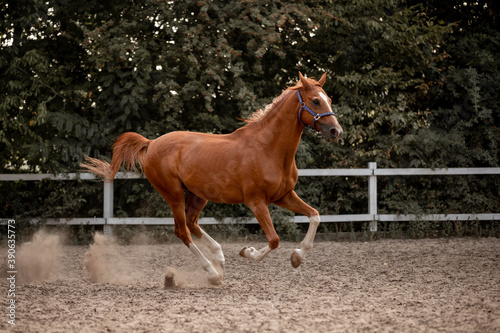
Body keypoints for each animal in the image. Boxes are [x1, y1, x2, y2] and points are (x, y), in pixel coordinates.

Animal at [82, 72, 344, 282]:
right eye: (315, 101)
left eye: (329, 99)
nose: (335, 131)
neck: (268, 149)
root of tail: (152, 142)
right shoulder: (256, 201)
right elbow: (274, 240)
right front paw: (248, 252)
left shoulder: (284, 196)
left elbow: (315, 216)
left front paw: (297, 257)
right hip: (174, 194)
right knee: (182, 231)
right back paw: (212, 273)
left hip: (198, 195)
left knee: (191, 223)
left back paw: (219, 256)